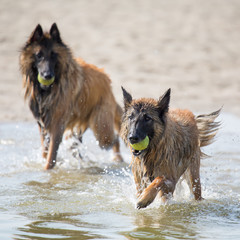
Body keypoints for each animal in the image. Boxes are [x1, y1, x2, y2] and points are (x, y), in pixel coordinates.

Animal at [19, 22, 123, 169]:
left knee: (115, 140)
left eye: (54, 55)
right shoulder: (43, 125)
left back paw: (118, 159)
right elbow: (46, 153)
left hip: (101, 130)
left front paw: (47, 170)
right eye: (38, 55)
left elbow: (50, 157)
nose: (47, 75)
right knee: (77, 148)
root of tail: (108, 83)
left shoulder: (57, 125)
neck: (49, 90)